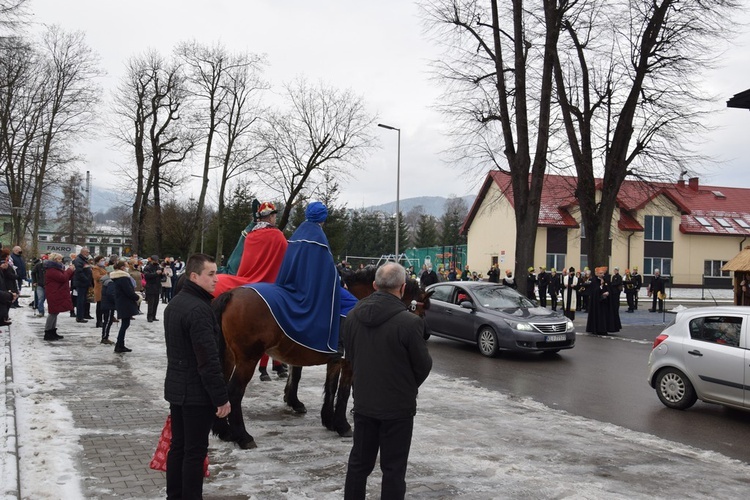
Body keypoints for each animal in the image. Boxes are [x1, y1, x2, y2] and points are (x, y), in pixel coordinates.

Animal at [214, 268, 432, 452]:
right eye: (421, 310)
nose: (425, 334)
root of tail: (232, 294)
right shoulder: (348, 362)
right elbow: (343, 392)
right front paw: (342, 425)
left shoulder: (334, 361)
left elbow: (331, 388)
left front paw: (329, 420)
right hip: (247, 359)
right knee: (234, 393)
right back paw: (243, 436)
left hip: (228, 356)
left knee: (221, 390)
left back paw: (224, 431)